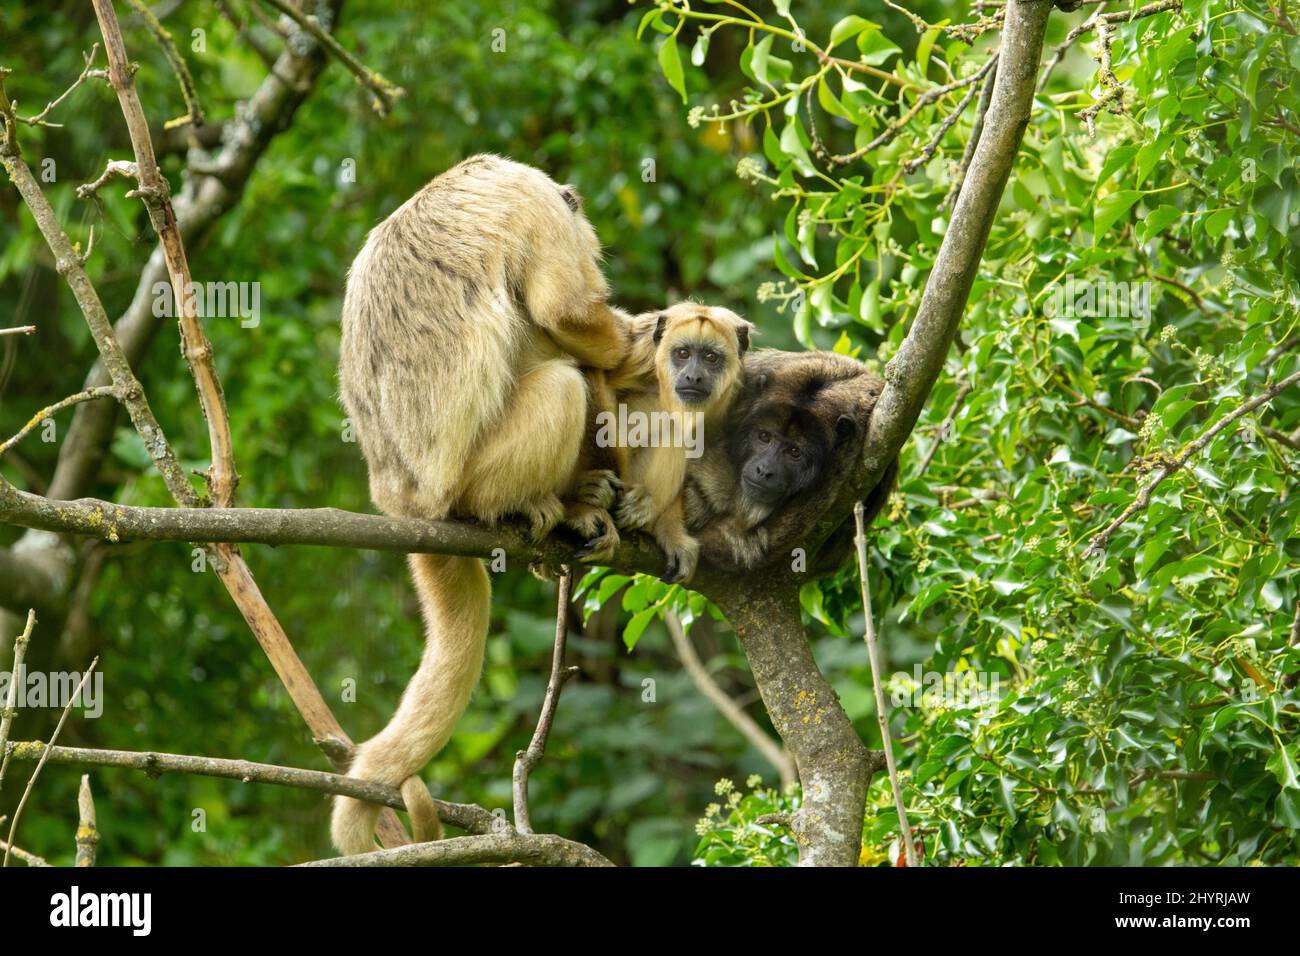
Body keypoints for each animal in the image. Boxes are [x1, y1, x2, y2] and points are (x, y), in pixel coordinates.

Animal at [335, 157, 629, 858]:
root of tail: (405, 504)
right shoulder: (533, 202)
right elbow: (565, 310)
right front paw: (634, 337)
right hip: (475, 476)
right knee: (562, 380)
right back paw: (543, 508)